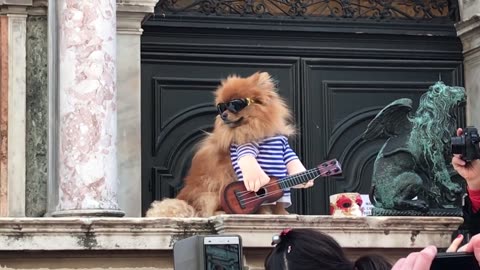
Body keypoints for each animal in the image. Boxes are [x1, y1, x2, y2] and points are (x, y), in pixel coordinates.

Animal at [145, 71, 312, 217]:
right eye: (222, 107)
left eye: (236, 105)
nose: (223, 115)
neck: (255, 129)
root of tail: (185, 200)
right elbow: (262, 195)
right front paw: (264, 213)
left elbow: (278, 199)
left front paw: (283, 214)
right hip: (216, 187)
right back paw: (223, 212)